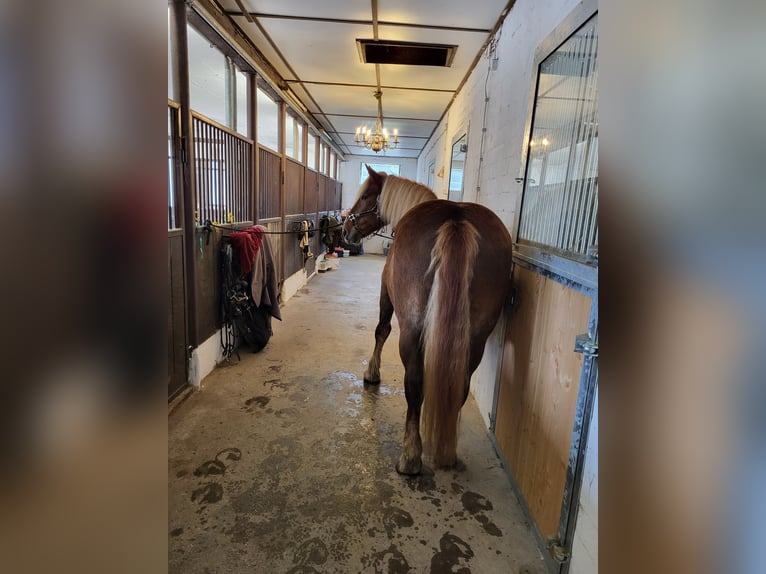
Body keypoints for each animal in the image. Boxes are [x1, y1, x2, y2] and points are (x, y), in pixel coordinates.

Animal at [343, 165, 513, 475]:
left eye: (364, 197)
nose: (345, 229)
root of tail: (456, 221)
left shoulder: (385, 293)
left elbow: (381, 330)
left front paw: (371, 373)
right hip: (475, 340)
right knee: (460, 386)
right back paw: (446, 450)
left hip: (411, 331)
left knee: (413, 385)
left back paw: (410, 457)